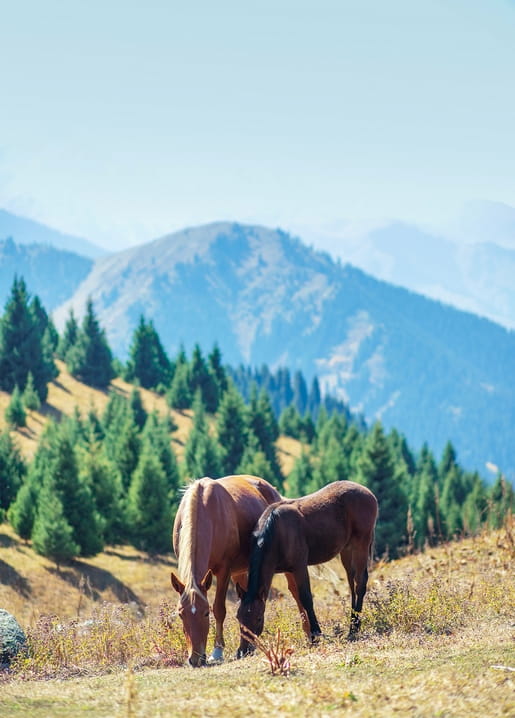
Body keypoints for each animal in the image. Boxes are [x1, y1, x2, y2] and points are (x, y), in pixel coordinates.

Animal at [171, 474, 299, 667]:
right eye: (180, 614)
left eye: (206, 613)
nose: (196, 658)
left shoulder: (224, 570)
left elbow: (219, 609)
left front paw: (217, 652)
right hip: (241, 572)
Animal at [236, 480, 378, 657]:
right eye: (238, 618)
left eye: (259, 618)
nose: (243, 650)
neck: (274, 533)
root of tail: (369, 493)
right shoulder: (289, 570)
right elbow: (299, 598)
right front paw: (311, 634)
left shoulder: (299, 566)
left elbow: (306, 598)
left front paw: (316, 634)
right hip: (346, 549)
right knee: (352, 583)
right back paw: (352, 624)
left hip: (361, 543)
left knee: (360, 582)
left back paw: (355, 627)